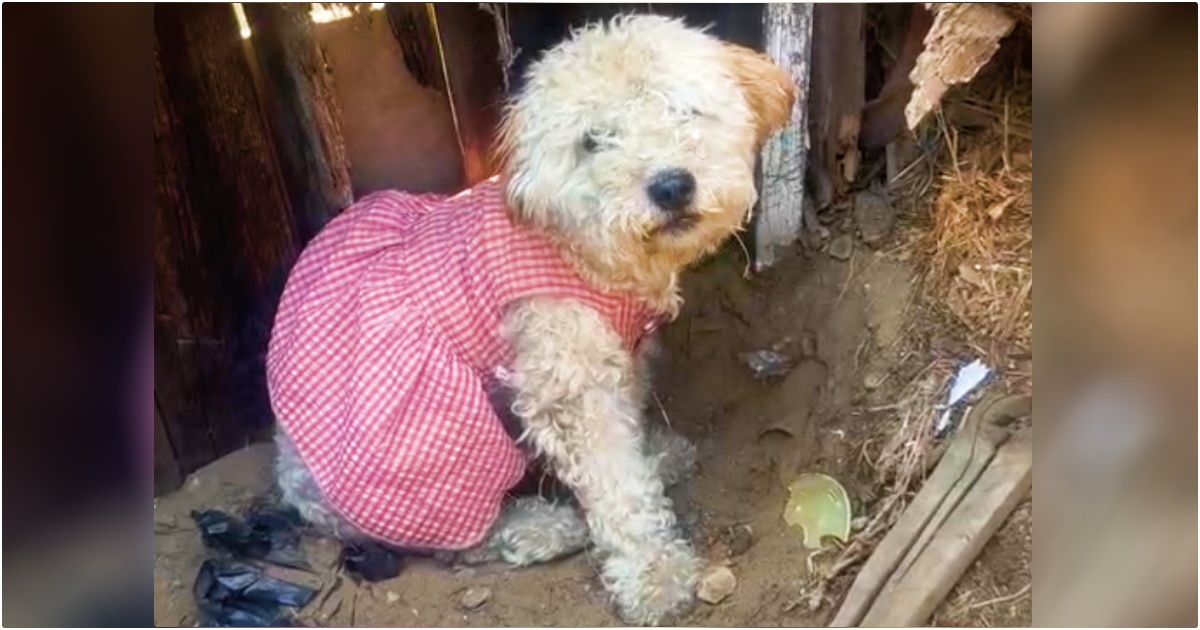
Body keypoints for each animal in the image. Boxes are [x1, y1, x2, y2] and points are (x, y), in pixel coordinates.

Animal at [266, 14, 792, 624]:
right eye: (593, 140)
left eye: (685, 110)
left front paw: (655, 456)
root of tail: (292, 478)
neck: (582, 249)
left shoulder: (617, 358)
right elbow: (615, 482)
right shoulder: (567, 384)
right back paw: (539, 528)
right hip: (436, 434)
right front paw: (652, 573)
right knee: (455, 538)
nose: (670, 185)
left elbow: (628, 435)